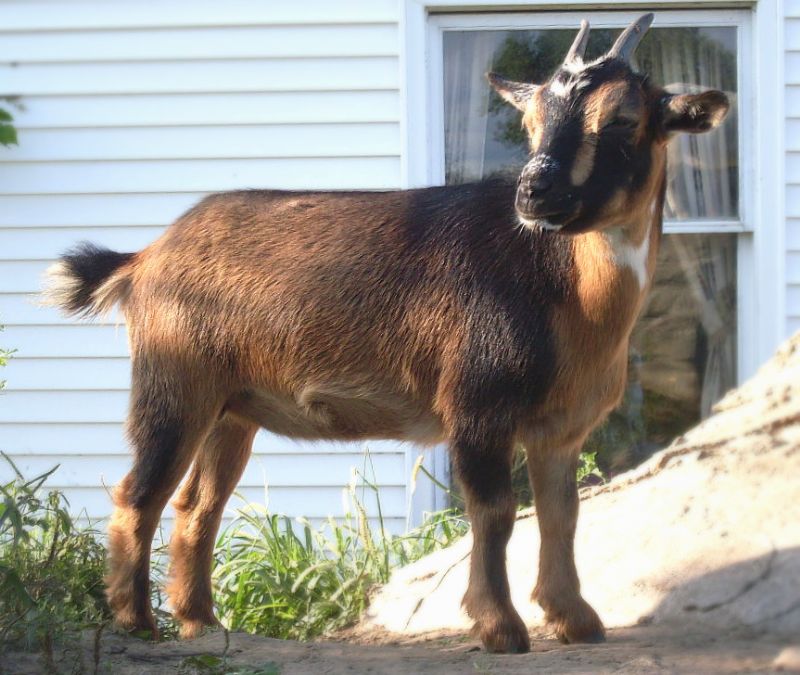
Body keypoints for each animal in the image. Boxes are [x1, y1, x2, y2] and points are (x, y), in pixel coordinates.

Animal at [45, 14, 729, 653]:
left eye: (622, 119)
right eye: (531, 121)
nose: (534, 192)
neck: (563, 286)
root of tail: (144, 259)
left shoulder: (561, 427)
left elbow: (563, 514)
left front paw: (577, 620)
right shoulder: (477, 407)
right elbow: (495, 513)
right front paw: (500, 627)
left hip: (232, 408)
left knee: (196, 506)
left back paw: (202, 623)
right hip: (174, 382)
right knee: (138, 493)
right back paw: (137, 622)